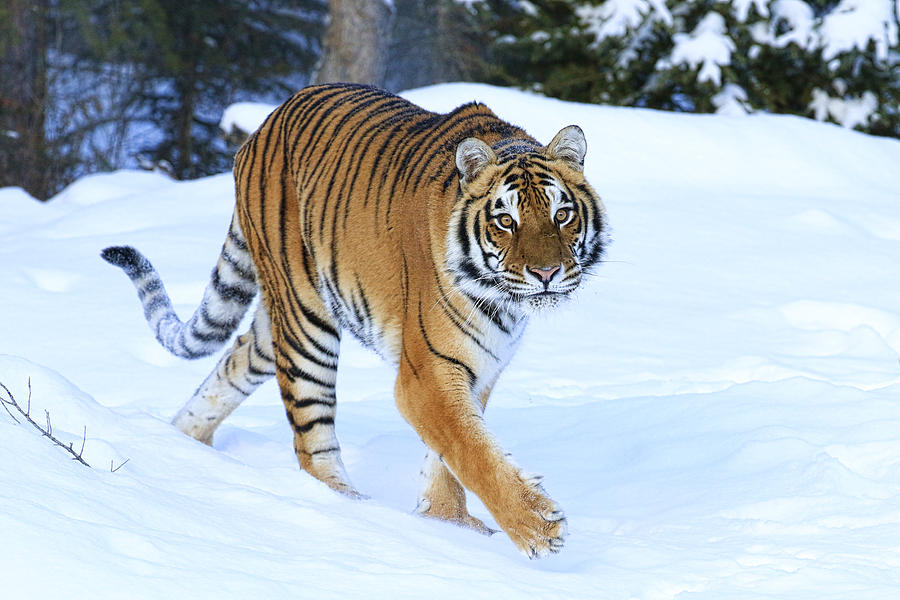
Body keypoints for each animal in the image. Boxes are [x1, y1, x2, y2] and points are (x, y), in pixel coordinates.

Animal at [102, 83, 608, 556]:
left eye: (562, 215)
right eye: (506, 221)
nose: (546, 273)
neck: (503, 302)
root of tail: (267, 122)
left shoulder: (480, 365)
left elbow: (451, 454)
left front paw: (448, 524)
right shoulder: (427, 372)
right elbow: (471, 450)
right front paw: (539, 527)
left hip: (274, 326)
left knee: (231, 366)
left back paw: (180, 441)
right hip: (306, 319)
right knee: (312, 437)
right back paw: (353, 512)